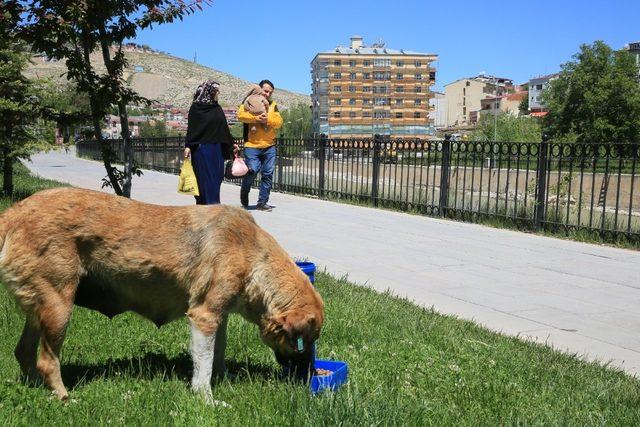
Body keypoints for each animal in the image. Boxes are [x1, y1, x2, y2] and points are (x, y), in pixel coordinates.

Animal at [0, 189, 322, 402]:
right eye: (305, 342)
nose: (310, 375)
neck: (253, 254)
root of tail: (14, 211)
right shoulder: (203, 317)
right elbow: (203, 364)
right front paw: (207, 400)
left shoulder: (219, 317)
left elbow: (218, 353)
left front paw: (225, 378)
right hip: (59, 305)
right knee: (46, 361)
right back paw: (65, 398)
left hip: (39, 307)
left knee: (24, 352)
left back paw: (36, 388)